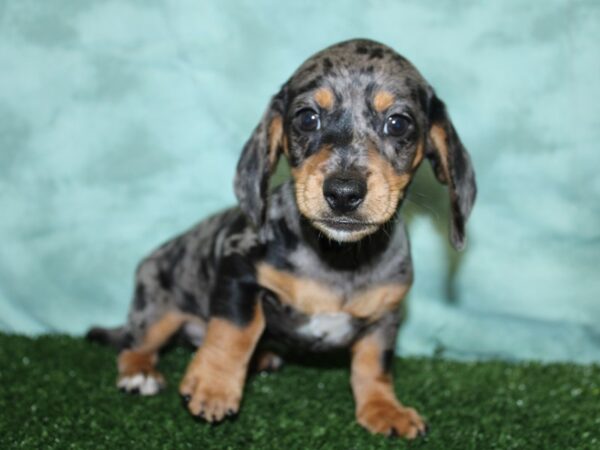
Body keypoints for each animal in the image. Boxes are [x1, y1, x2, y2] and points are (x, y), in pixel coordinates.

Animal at [86, 38, 476, 440]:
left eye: (398, 123)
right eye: (307, 118)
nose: (343, 192)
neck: (337, 258)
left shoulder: (385, 315)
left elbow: (374, 364)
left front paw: (383, 408)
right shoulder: (240, 272)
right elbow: (232, 332)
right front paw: (213, 387)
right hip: (157, 308)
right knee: (134, 343)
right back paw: (140, 373)